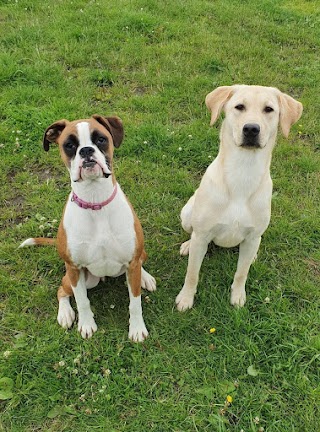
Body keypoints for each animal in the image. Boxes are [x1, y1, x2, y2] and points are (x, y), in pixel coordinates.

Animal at [19, 115, 156, 340]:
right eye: (69, 145)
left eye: (101, 139)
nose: (85, 151)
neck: (95, 199)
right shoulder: (74, 268)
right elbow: (82, 301)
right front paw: (86, 324)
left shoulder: (132, 262)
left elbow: (135, 302)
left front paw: (136, 329)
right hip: (81, 278)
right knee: (61, 290)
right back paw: (65, 314)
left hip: (134, 260)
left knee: (140, 262)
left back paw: (145, 277)